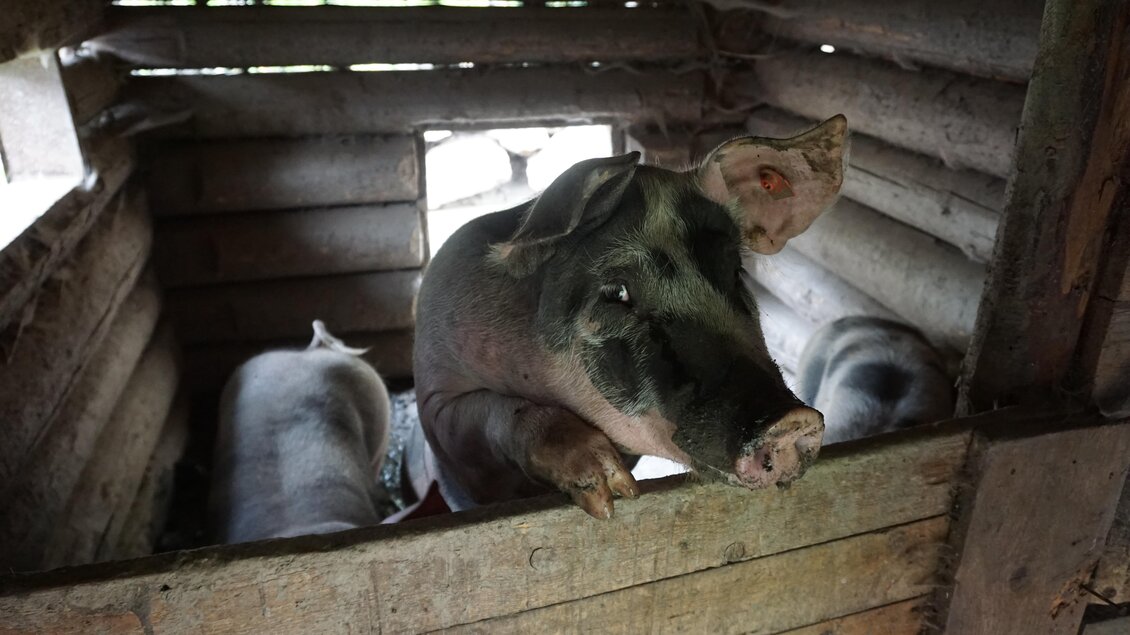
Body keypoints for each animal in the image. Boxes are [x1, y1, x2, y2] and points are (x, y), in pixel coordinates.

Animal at [414, 116, 849, 518]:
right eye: (616, 293)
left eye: (735, 271)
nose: (791, 420)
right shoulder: (435, 399)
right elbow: (492, 414)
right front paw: (609, 494)